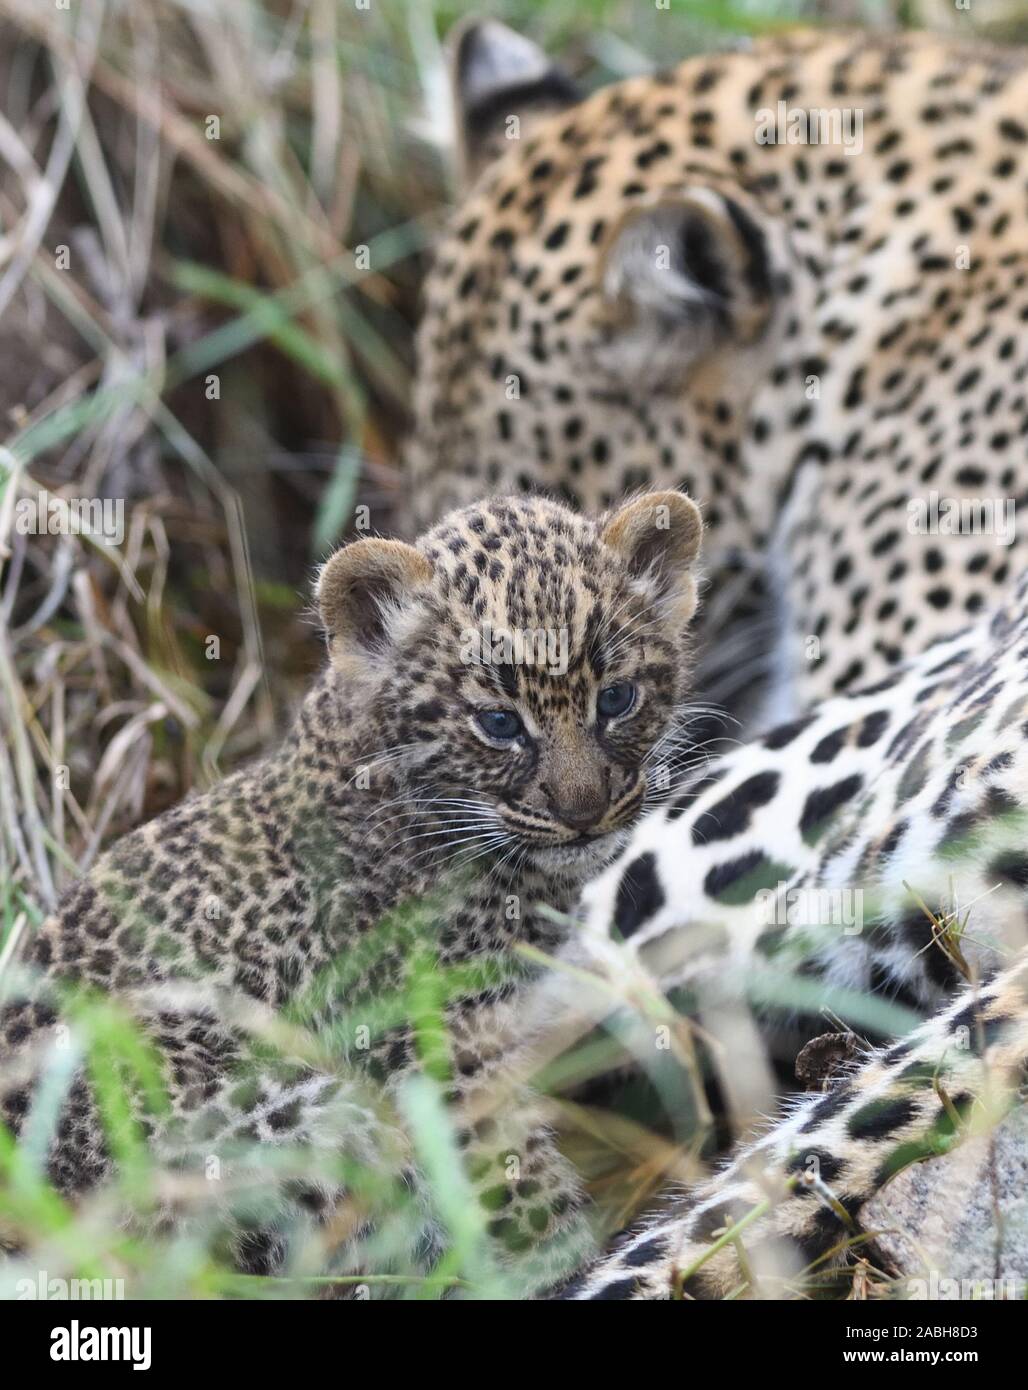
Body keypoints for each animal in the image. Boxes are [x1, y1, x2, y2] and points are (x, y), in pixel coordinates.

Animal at [0, 490, 704, 1293]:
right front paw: (567, 1267)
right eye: (499, 723)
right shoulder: (435, 1048)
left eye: (616, 700)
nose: (585, 811)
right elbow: (517, 1186)